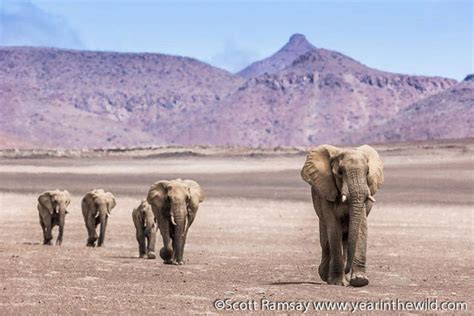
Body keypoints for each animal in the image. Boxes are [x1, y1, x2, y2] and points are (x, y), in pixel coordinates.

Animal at [302, 144, 384, 288]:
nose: (347, 269)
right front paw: (337, 282)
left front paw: (360, 281)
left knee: (345, 239)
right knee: (326, 239)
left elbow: (361, 228)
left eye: (367, 172)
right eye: (340, 172)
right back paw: (326, 276)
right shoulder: (327, 191)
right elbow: (334, 229)